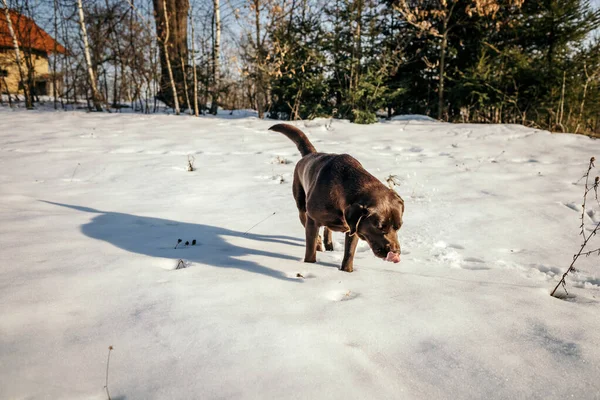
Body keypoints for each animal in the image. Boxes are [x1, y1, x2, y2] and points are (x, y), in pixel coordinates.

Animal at [270, 122, 404, 272]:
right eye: (379, 227)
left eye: (398, 227)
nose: (396, 252)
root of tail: (310, 154)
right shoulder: (313, 220)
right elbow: (310, 249)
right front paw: (310, 265)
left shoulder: (353, 228)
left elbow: (349, 253)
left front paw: (347, 271)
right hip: (301, 206)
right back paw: (320, 243)